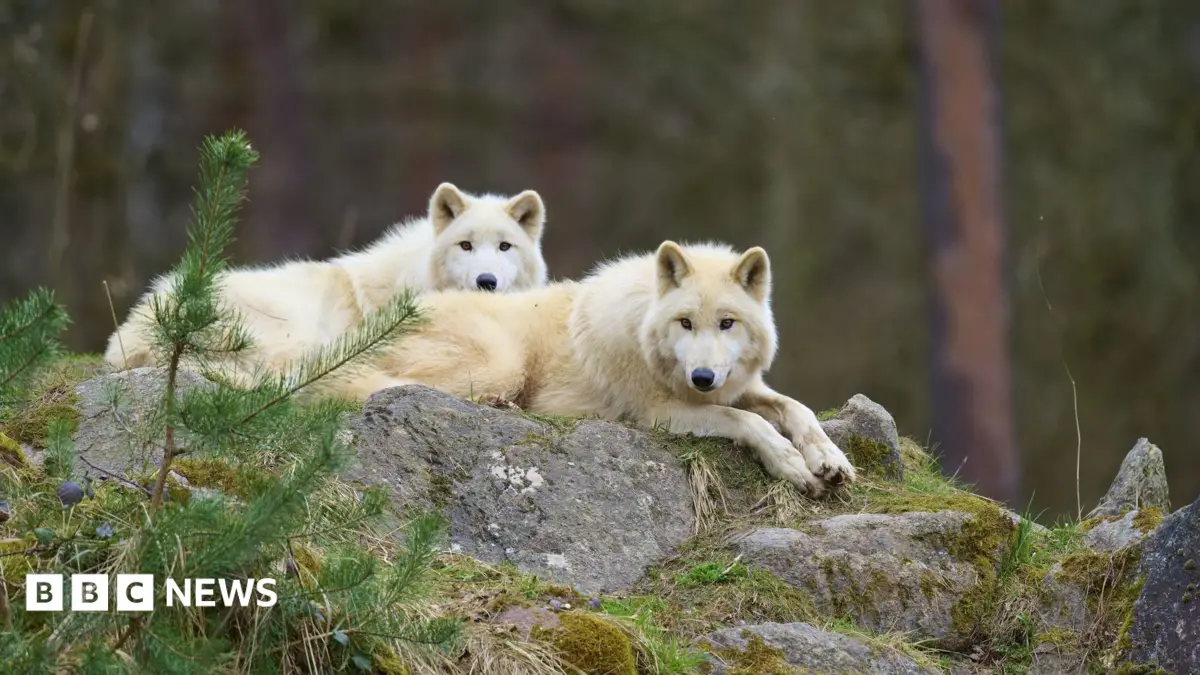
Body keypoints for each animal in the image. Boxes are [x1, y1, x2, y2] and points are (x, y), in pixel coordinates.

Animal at [334, 240, 857, 495]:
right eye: (685, 322)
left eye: (727, 323)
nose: (702, 377)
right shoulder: (658, 413)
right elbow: (747, 421)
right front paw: (792, 465)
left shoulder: (735, 387)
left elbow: (796, 409)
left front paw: (830, 459)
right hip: (499, 364)